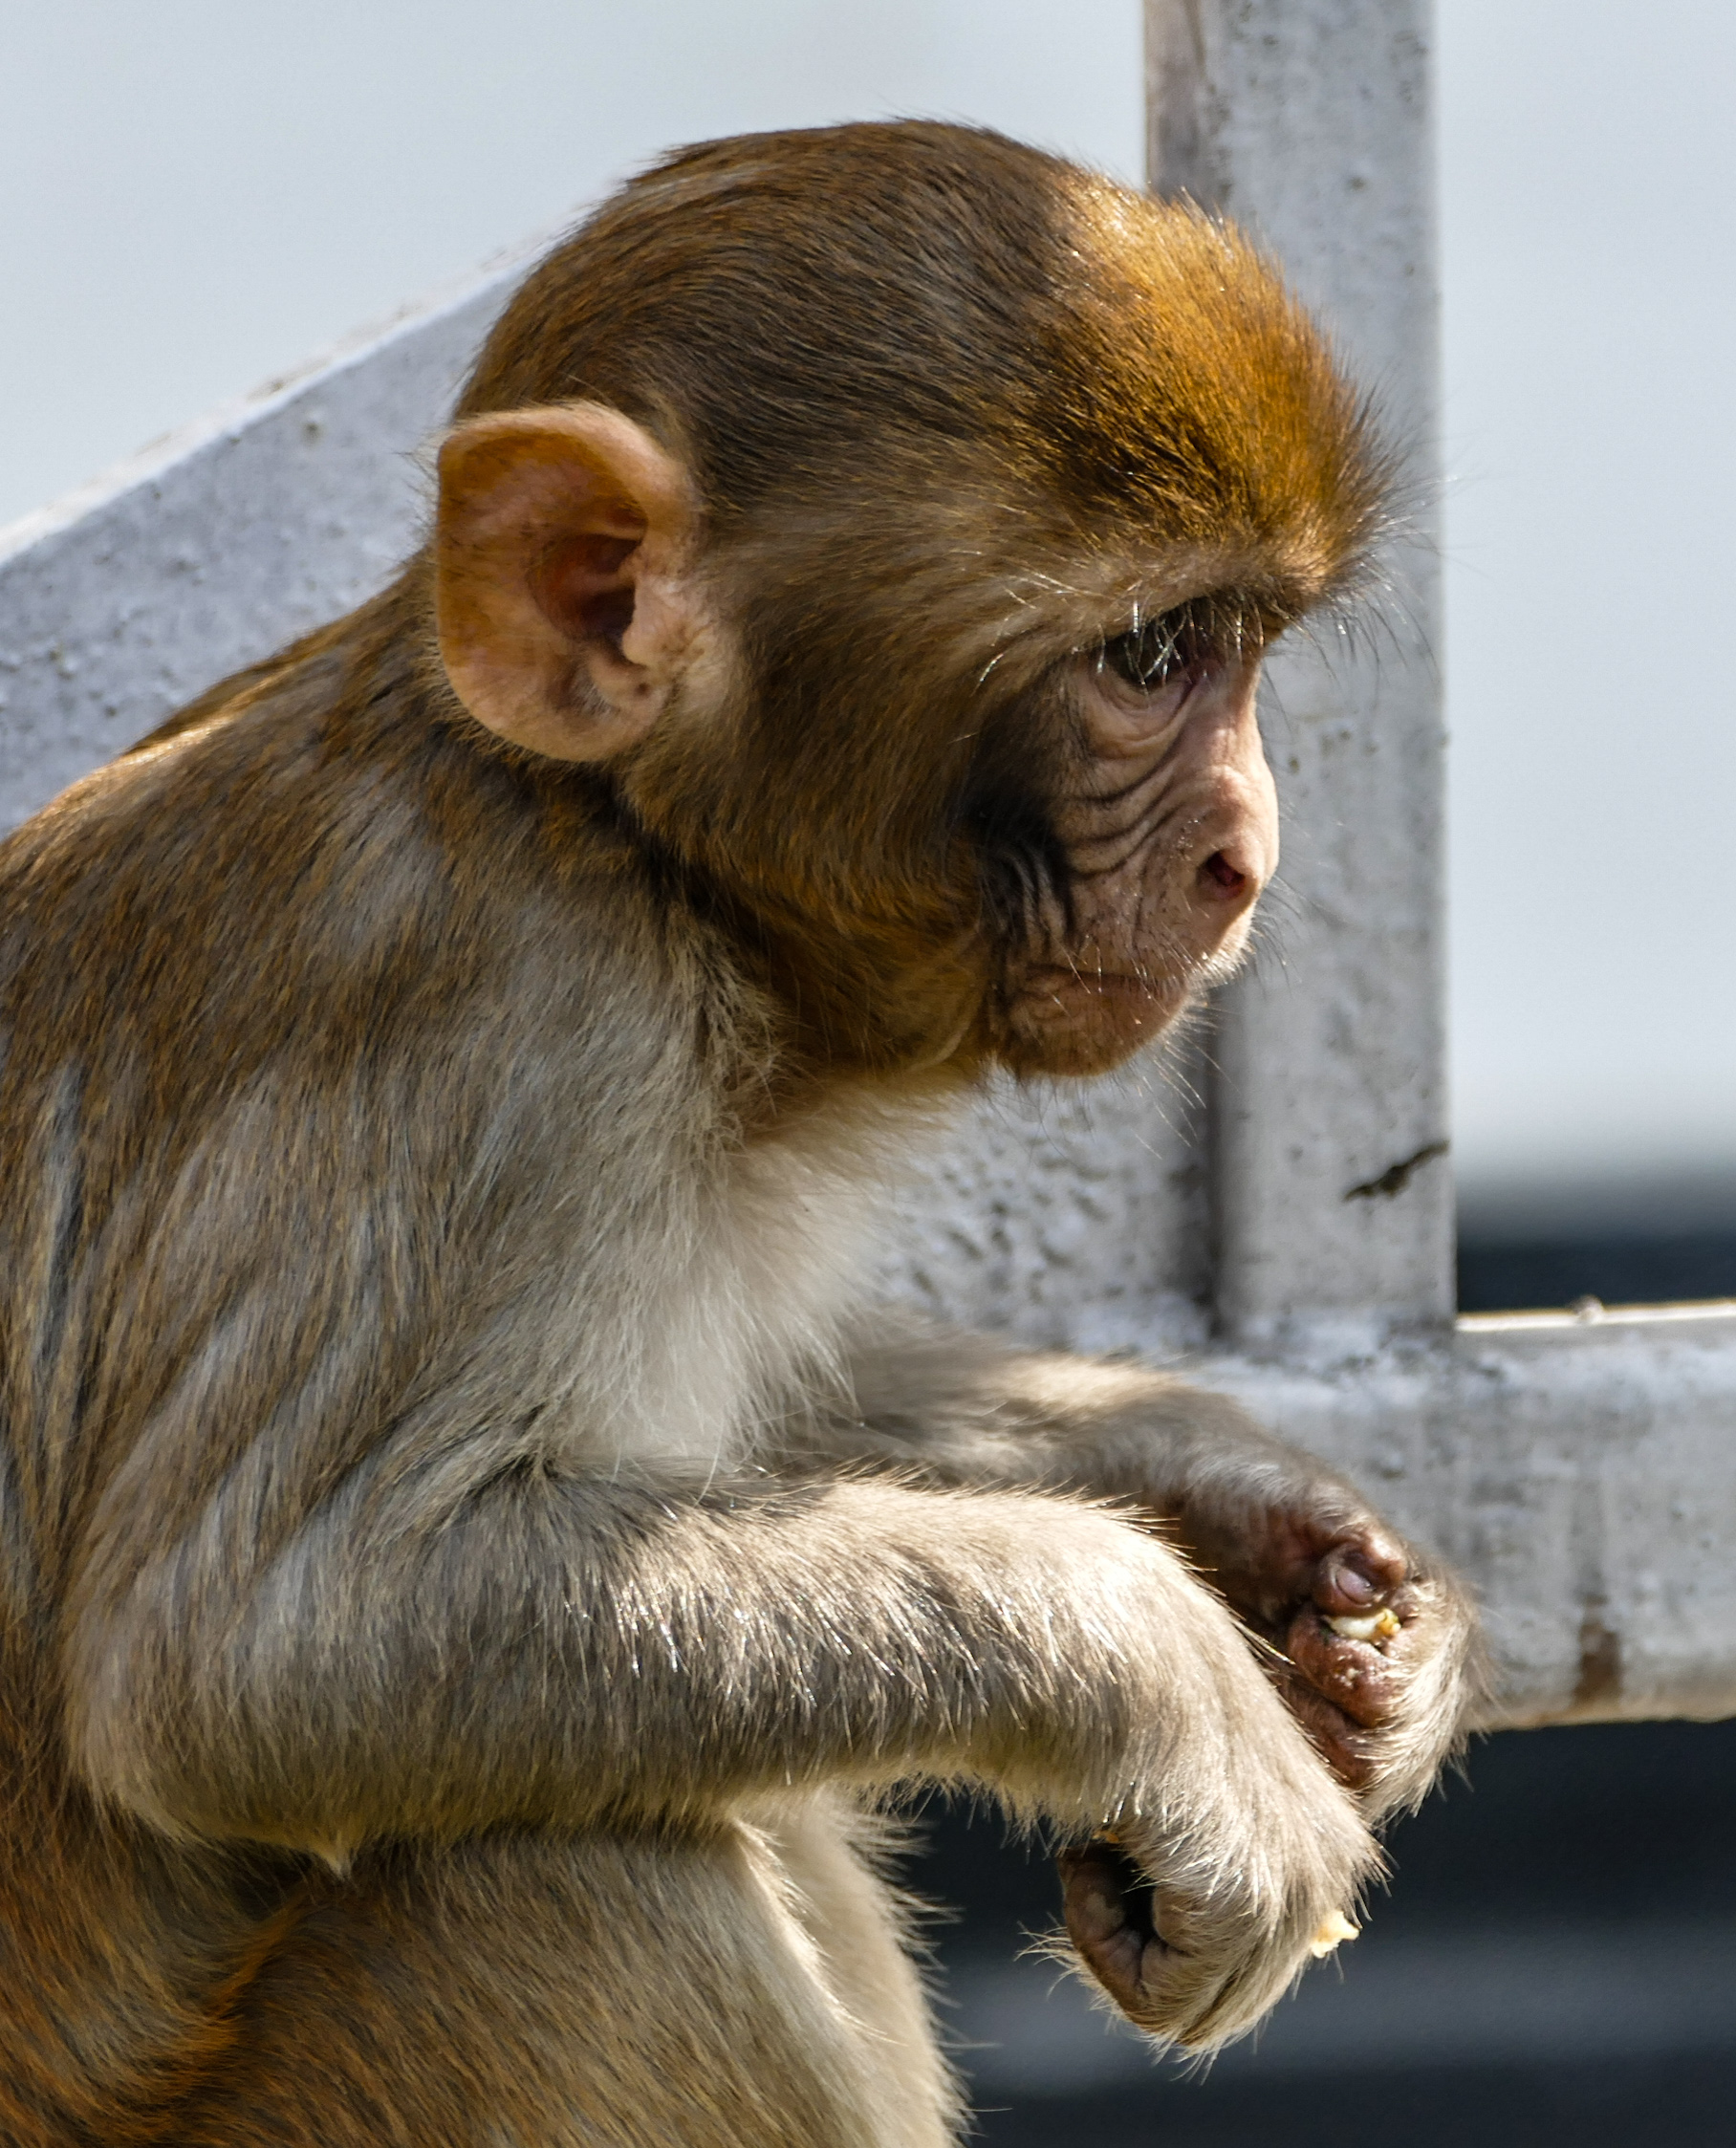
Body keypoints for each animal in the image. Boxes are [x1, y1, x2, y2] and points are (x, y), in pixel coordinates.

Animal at [0, 122, 1477, 2147]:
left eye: (1241, 644)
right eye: (1152, 655)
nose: (1244, 854)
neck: (610, 836)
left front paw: (1240, 1498)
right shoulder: (497, 1016)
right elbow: (257, 1654)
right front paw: (1155, 1652)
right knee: (568, 1876)